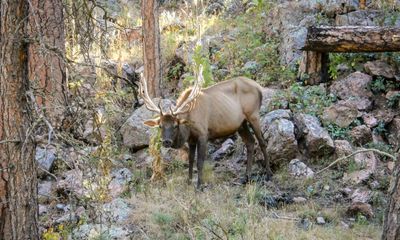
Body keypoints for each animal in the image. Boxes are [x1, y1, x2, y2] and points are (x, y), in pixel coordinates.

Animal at [139, 66, 274, 188]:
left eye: (175, 125)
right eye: (160, 126)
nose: (166, 142)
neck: (188, 125)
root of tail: (259, 88)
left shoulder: (203, 134)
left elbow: (200, 162)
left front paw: (199, 185)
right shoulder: (191, 139)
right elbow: (191, 160)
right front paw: (189, 182)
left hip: (253, 115)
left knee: (262, 142)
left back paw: (268, 174)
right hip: (241, 123)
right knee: (250, 142)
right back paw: (246, 177)